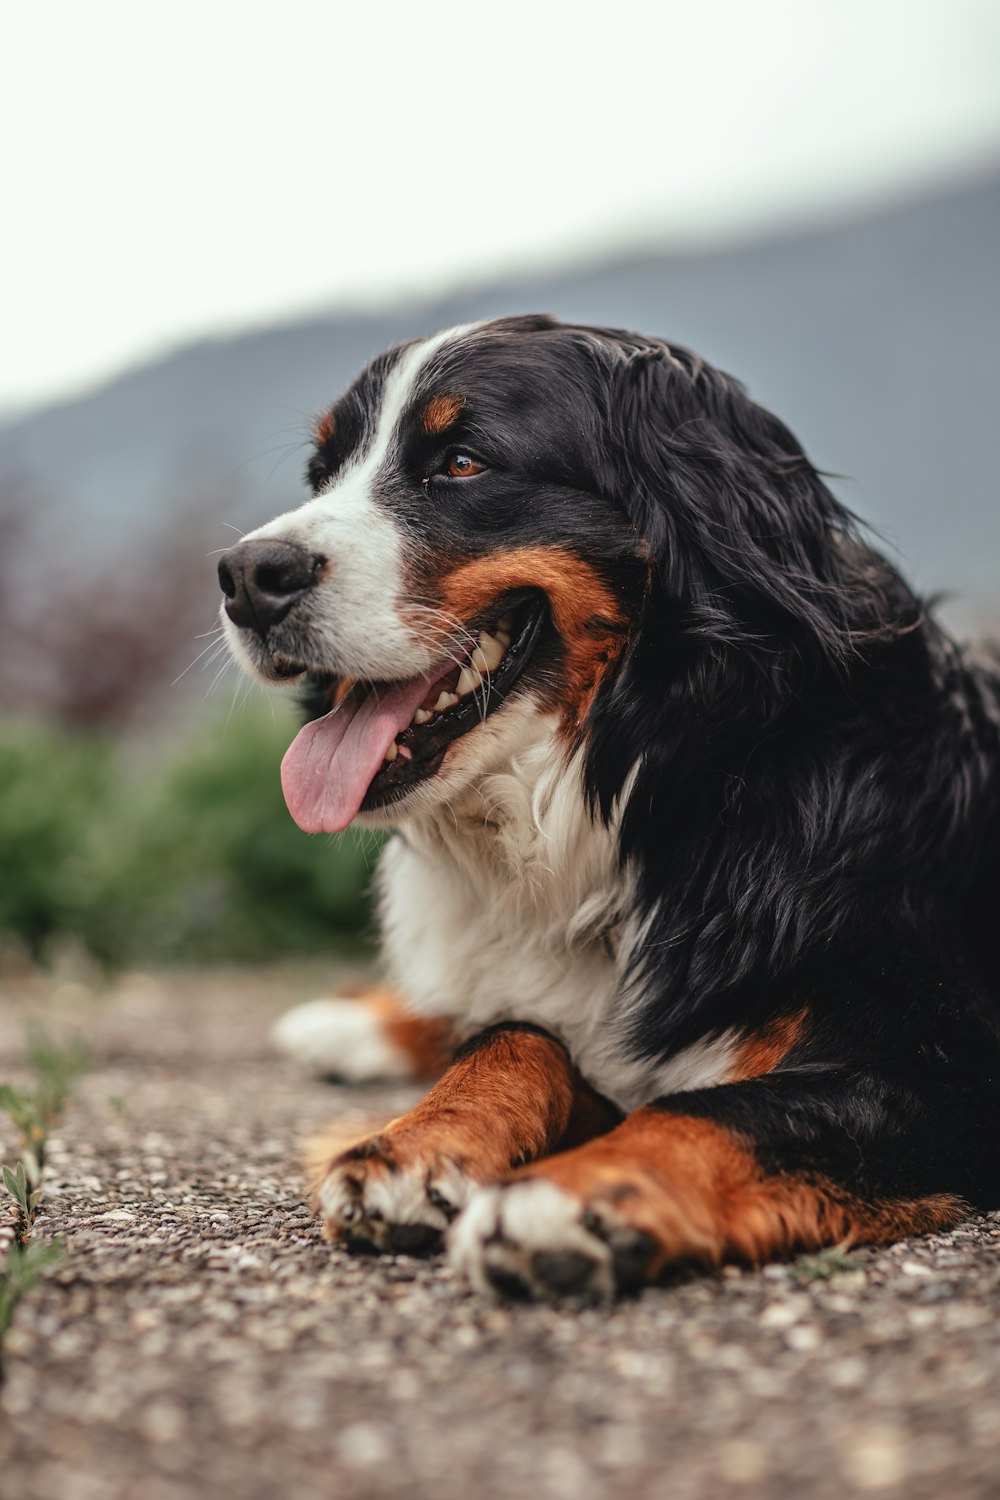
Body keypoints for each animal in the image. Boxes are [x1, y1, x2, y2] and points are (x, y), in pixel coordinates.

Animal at [218, 313, 1000, 1302]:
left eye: (463, 463)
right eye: (321, 474)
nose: (245, 574)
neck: (638, 789)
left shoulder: (946, 1062)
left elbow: (725, 1108)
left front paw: (570, 1198)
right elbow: (516, 1035)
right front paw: (414, 1144)